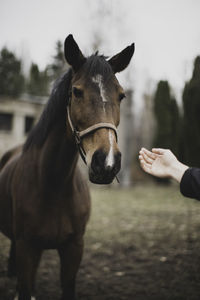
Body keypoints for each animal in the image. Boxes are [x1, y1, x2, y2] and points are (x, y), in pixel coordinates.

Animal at [0, 34, 134, 298]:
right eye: (76, 91)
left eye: (121, 96)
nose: (107, 161)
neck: (54, 185)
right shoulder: (27, 247)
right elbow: (25, 285)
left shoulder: (74, 248)